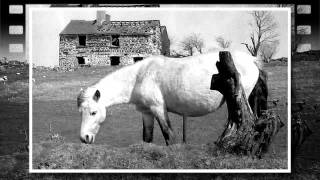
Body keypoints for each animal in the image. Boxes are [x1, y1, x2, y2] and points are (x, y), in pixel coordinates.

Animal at [77, 51, 260, 145]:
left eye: (93, 112)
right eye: (81, 113)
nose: (84, 138)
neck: (139, 76)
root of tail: (252, 59)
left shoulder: (158, 109)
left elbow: (168, 136)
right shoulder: (147, 113)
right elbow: (147, 138)